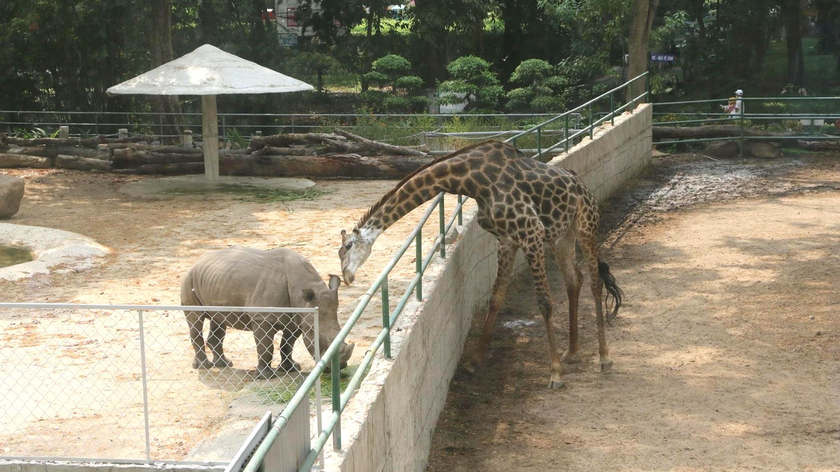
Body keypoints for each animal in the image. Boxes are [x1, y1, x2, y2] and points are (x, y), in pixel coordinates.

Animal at [340, 139, 624, 388]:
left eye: (347, 247)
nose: (346, 277)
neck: (471, 180)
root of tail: (584, 188)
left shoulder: (530, 234)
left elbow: (544, 303)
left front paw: (555, 374)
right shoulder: (507, 240)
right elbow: (496, 298)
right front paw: (473, 362)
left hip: (585, 227)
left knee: (595, 283)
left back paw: (604, 358)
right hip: (562, 236)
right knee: (574, 279)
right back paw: (572, 351)